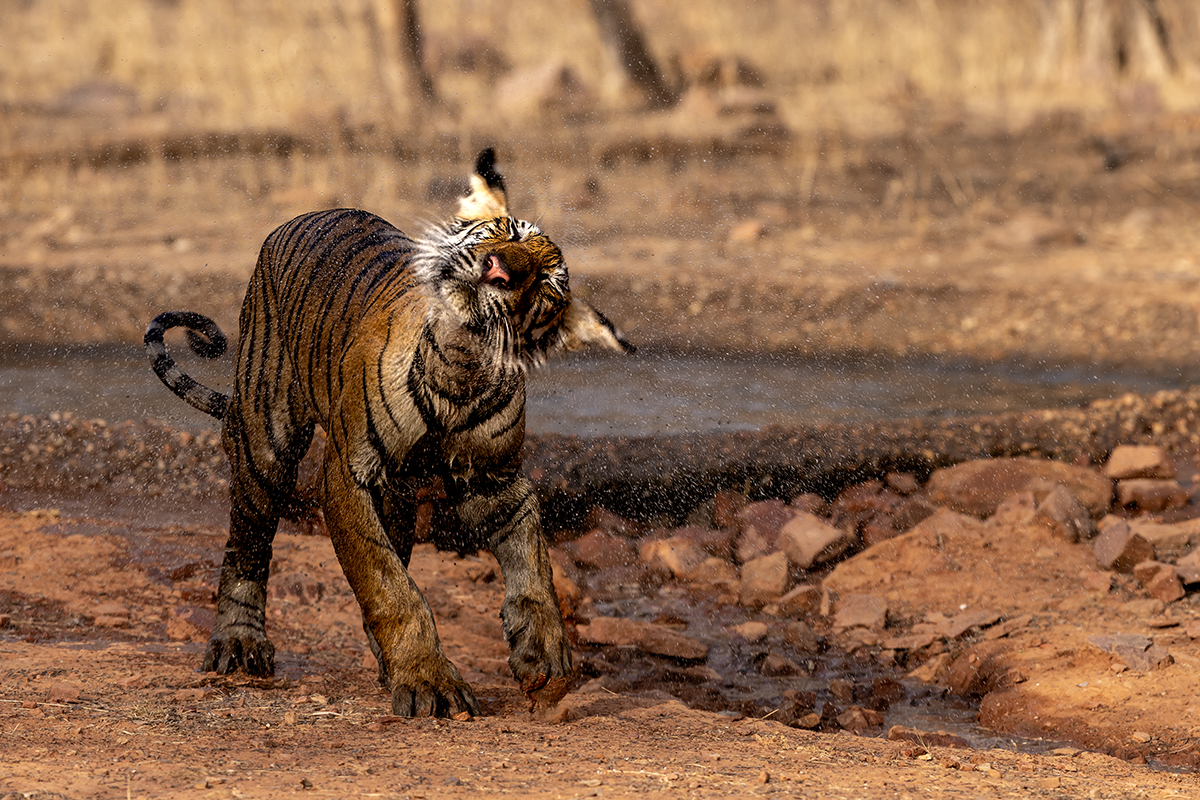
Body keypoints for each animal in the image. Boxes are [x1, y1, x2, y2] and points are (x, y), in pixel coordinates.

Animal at [144, 149, 633, 719]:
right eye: (506, 230)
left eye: (546, 284)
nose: (499, 269)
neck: (460, 366)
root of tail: (305, 216)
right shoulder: (347, 476)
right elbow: (390, 586)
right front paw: (428, 680)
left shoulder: (496, 482)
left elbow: (533, 563)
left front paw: (545, 656)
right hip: (266, 444)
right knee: (247, 547)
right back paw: (238, 643)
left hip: (392, 493)